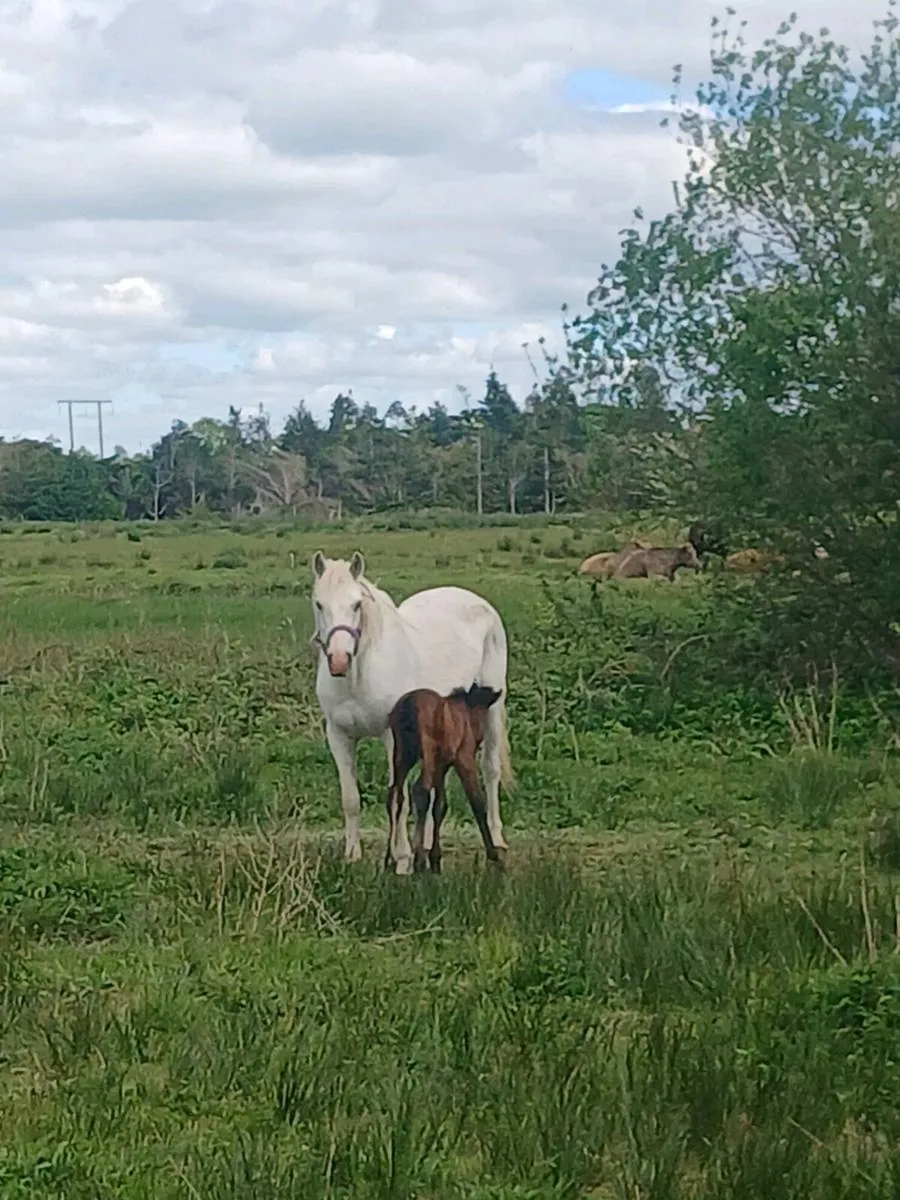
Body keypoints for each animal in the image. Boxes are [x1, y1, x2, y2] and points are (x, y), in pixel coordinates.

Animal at [386, 684, 504, 874]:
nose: (479, 740)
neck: (464, 711)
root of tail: (408, 705)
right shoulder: (463, 758)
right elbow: (477, 802)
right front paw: (493, 854)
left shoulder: (442, 765)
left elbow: (440, 806)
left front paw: (435, 858)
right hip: (426, 753)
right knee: (421, 789)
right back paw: (418, 859)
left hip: (403, 755)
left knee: (394, 794)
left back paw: (390, 859)